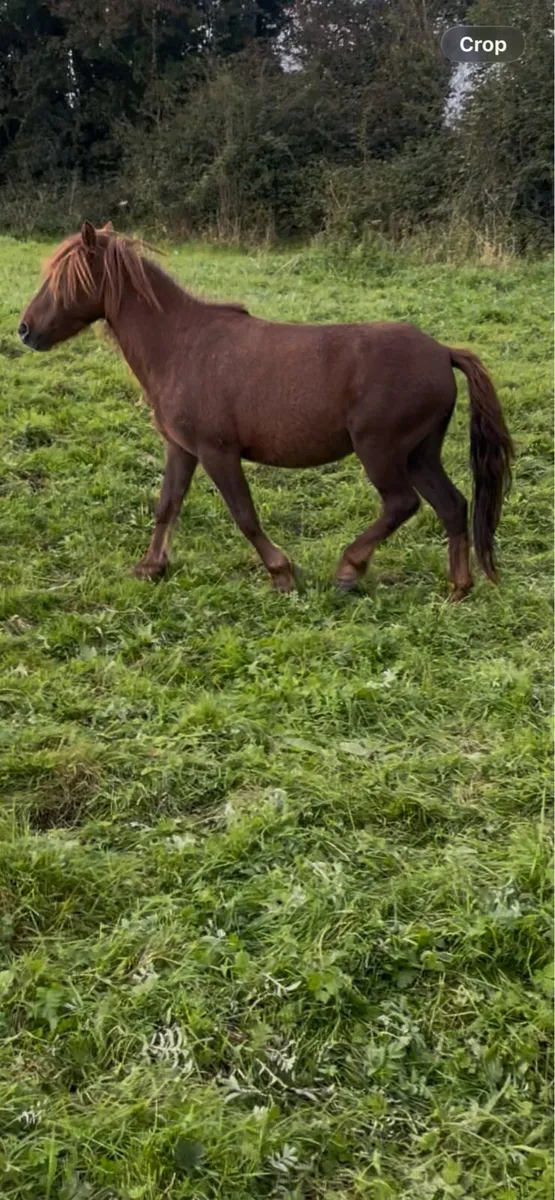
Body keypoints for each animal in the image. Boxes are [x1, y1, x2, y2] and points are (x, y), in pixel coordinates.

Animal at [18, 221, 514, 600]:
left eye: (64, 279)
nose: (24, 330)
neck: (181, 344)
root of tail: (442, 352)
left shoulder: (217, 452)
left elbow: (244, 516)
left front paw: (282, 573)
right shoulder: (182, 449)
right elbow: (167, 504)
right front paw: (151, 566)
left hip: (381, 450)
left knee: (401, 503)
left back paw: (349, 569)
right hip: (420, 454)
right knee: (452, 506)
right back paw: (458, 588)